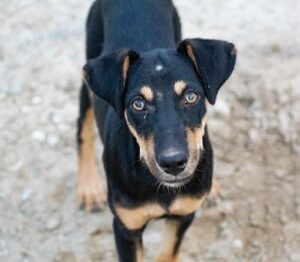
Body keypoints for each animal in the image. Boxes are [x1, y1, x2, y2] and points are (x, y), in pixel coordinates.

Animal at [77, 1, 237, 260]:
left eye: (191, 96)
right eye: (138, 104)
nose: (173, 164)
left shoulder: (183, 216)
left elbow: (168, 254)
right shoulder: (126, 227)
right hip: (89, 71)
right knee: (83, 129)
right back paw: (89, 187)